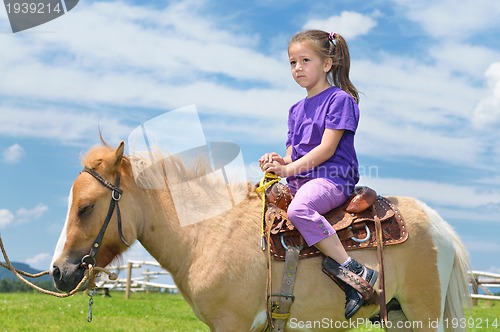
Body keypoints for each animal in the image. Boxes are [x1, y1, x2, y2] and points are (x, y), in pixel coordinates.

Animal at [51, 141, 472, 330]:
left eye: (86, 207)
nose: (58, 271)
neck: (207, 234)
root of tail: (439, 225)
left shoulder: (231, 324)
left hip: (421, 316)